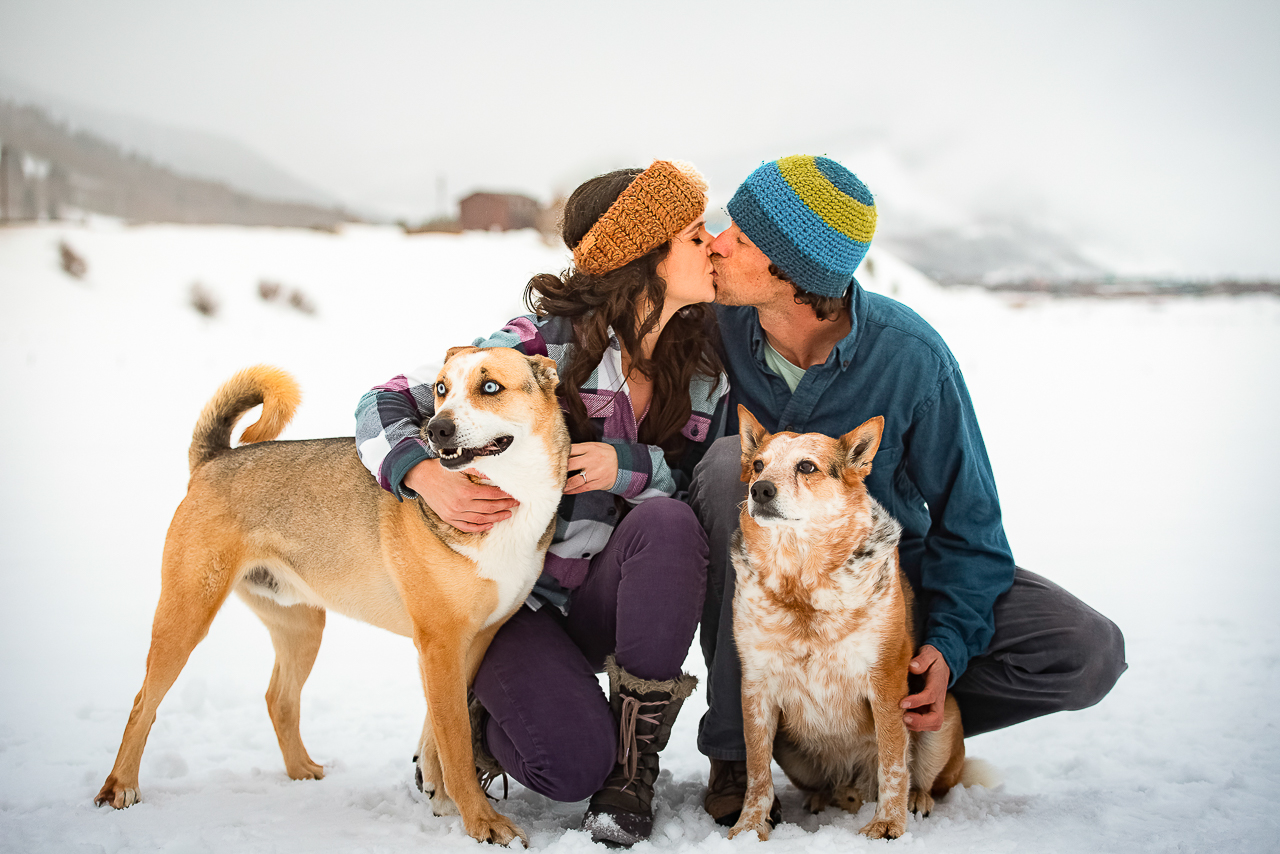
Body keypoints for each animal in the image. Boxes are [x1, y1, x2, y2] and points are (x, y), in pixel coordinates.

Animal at [101, 348, 576, 850]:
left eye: (489, 387)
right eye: (441, 388)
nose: (437, 429)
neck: (508, 495)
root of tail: (215, 460)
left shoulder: (472, 643)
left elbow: (437, 730)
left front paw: (441, 795)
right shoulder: (439, 644)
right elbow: (455, 738)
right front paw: (481, 822)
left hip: (301, 626)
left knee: (279, 699)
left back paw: (300, 771)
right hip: (186, 615)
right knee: (142, 703)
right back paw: (119, 787)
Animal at [727, 407, 962, 839]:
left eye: (807, 466)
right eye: (758, 465)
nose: (760, 489)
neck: (802, 583)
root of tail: (856, 784)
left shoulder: (886, 682)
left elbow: (893, 763)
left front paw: (888, 824)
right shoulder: (755, 685)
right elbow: (757, 772)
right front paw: (749, 829)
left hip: (942, 715)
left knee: (921, 777)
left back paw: (917, 799)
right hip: (792, 748)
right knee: (828, 785)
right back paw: (826, 798)